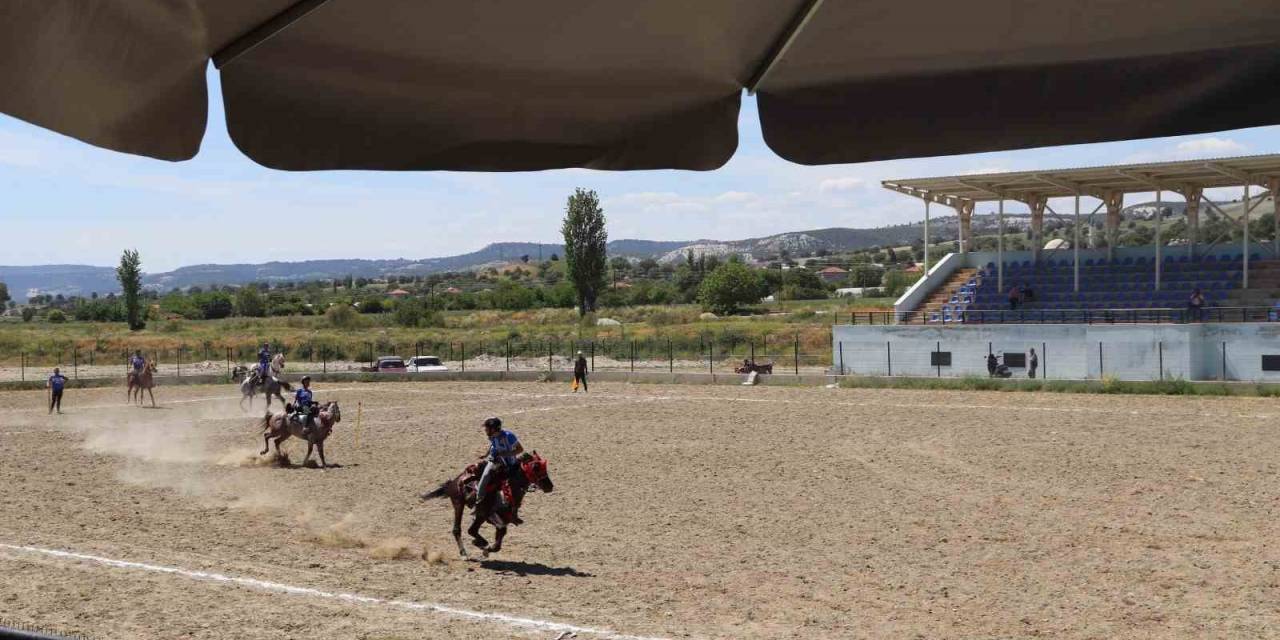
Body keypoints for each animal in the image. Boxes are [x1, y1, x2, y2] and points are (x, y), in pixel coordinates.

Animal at [419, 453, 550, 558]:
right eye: (536, 468)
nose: (550, 486)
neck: (507, 490)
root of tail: (454, 481)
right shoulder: (490, 515)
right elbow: (501, 529)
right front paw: (486, 547)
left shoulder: (498, 517)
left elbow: (500, 533)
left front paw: (484, 547)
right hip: (459, 504)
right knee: (457, 529)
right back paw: (464, 553)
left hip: (479, 515)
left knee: (472, 530)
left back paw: (479, 543)